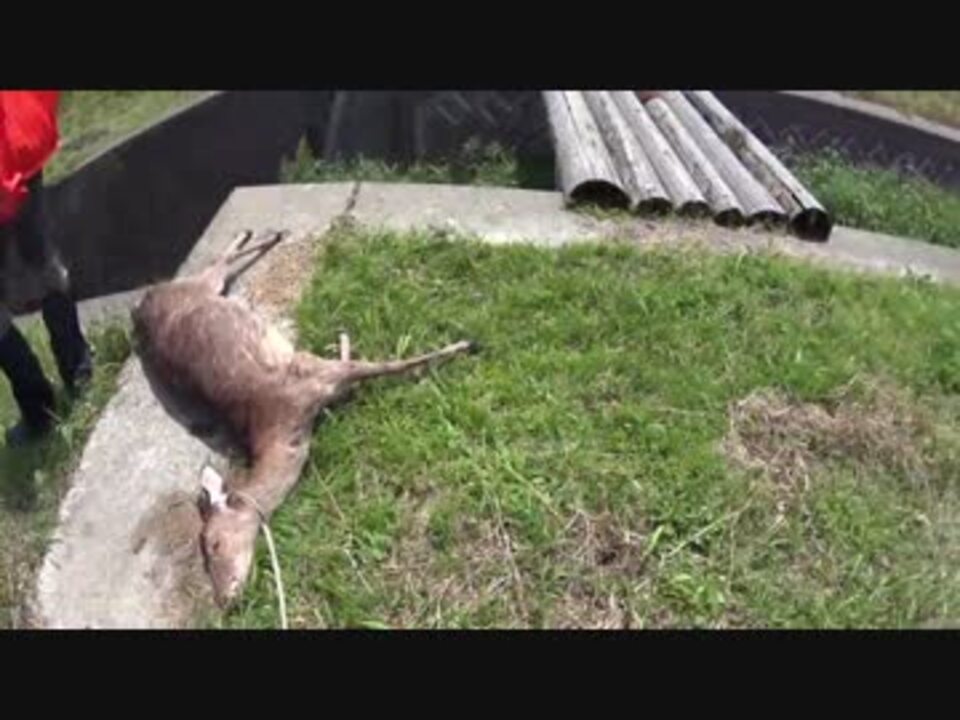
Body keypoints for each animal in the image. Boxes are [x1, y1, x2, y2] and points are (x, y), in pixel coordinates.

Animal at [131, 229, 477, 609]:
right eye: (206, 555)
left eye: (213, 544)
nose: (225, 599)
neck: (288, 426)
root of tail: (140, 306)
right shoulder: (318, 377)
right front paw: (344, 336)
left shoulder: (314, 374)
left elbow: (389, 364)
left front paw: (464, 343)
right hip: (199, 290)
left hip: (197, 287)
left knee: (217, 264)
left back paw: (264, 234)